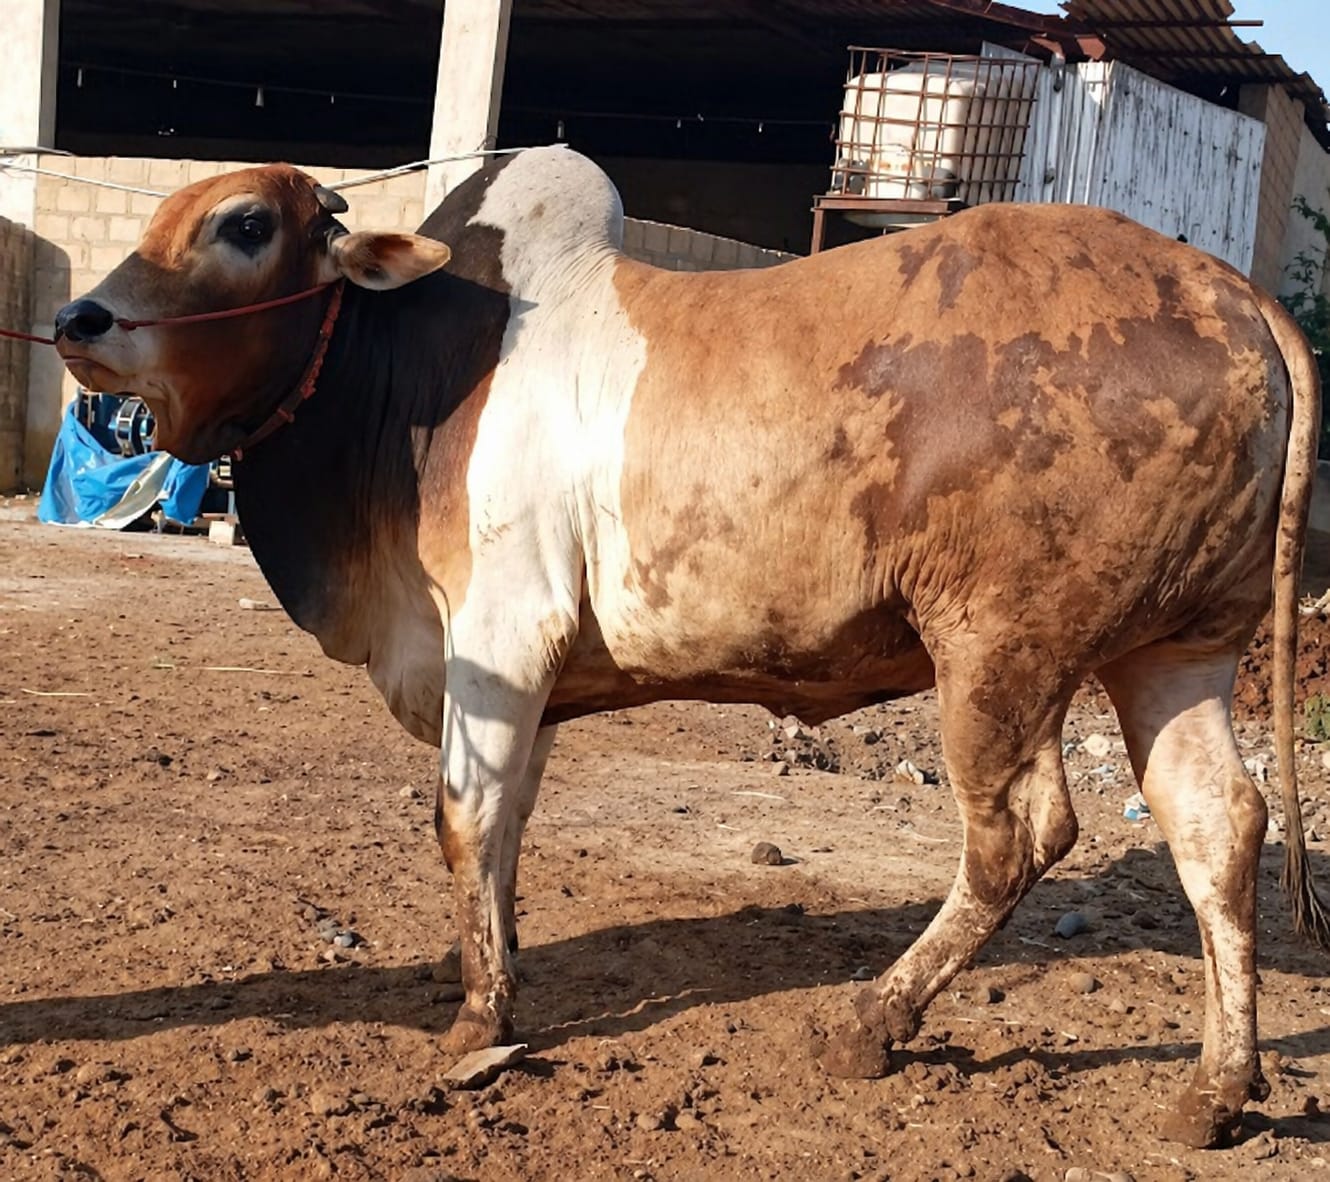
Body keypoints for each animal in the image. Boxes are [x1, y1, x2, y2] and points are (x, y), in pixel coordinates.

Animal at [53, 146, 1326, 1148]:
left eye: (245, 224)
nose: (79, 322)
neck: (404, 379)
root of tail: (1231, 294)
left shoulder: (499, 635)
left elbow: (463, 819)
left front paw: (474, 1024)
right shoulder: (526, 682)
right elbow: (503, 834)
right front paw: (497, 979)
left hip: (998, 651)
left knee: (1019, 836)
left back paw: (869, 1022)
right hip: (1170, 651)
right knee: (1218, 826)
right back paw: (1215, 1091)